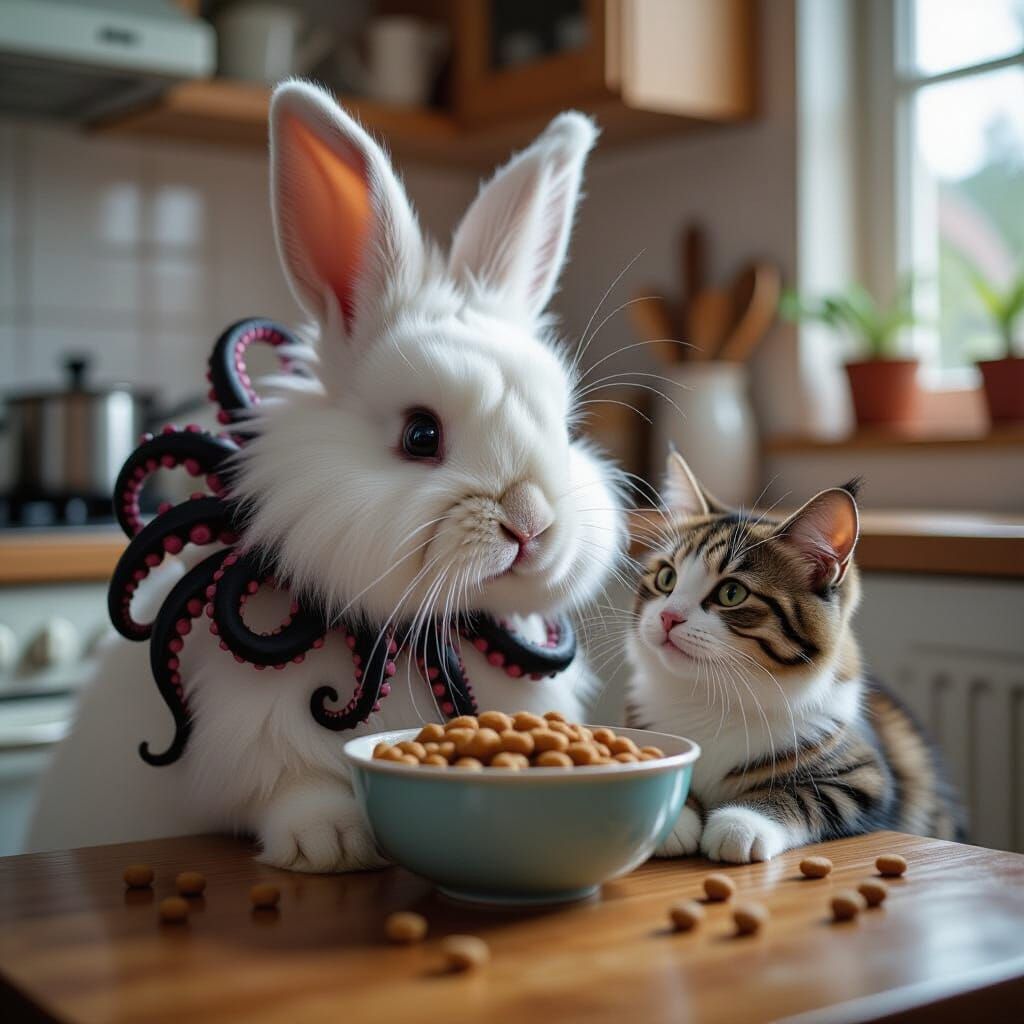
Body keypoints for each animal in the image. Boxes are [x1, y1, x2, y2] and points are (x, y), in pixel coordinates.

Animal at [27, 81, 627, 872]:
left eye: (562, 429)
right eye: (421, 434)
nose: (530, 521)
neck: (410, 643)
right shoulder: (248, 741)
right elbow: (292, 788)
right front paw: (331, 844)